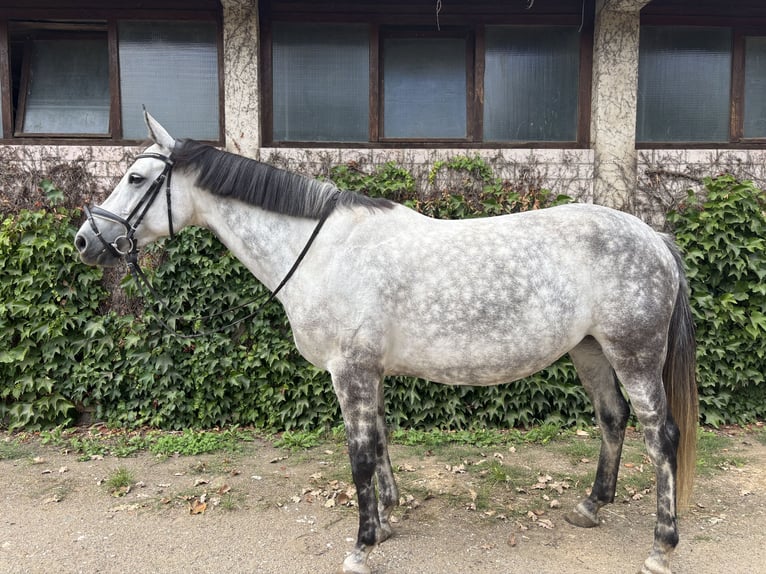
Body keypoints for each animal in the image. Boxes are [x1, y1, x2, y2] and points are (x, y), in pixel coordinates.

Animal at [75, 112, 698, 574]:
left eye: (135, 179)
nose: (85, 240)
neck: (322, 249)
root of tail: (654, 238)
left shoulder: (349, 370)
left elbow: (358, 454)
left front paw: (360, 545)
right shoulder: (368, 371)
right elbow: (378, 441)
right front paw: (386, 522)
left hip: (634, 354)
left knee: (660, 436)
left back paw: (662, 545)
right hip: (590, 349)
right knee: (613, 419)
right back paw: (591, 507)